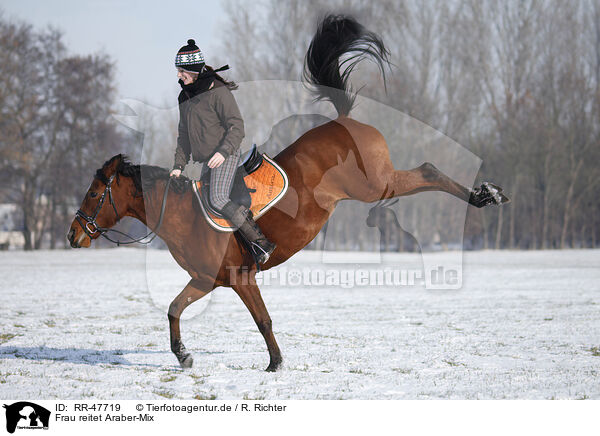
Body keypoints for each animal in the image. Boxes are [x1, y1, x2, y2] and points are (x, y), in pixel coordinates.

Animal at [65, 15, 508, 372]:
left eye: (94, 193)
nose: (72, 235)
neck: (183, 214)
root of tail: (343, 121)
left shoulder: (239, 278)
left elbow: (262, 320)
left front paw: (275, 363)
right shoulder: (206, 280)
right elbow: (175, 309)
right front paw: (184, 355)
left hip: (374, 184)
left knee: (427, 171)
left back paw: (485, 195)